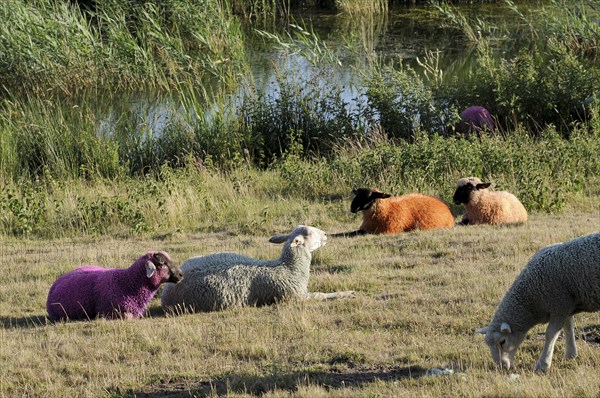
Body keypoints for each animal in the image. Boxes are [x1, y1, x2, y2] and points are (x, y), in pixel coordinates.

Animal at [46, 252, 182, 320]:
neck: (128, 281)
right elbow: (128, 317)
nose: (181, 274)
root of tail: (57, 281)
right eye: (162, 263)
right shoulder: (109, 312)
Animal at [161, 225, 356, 312]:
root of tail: (166, 291)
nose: (326, 234)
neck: (287, 267)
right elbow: (321, 295)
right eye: (308, 233)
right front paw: (347, 293)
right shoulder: (295, 296)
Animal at [478, 230, 600, 374]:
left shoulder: (559, 305)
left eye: (502, 341)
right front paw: (570, 355)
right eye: (488, 344)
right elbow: (568, 328)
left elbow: (550, 334)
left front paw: (543, 365)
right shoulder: (565, 306)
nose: (500, 367)